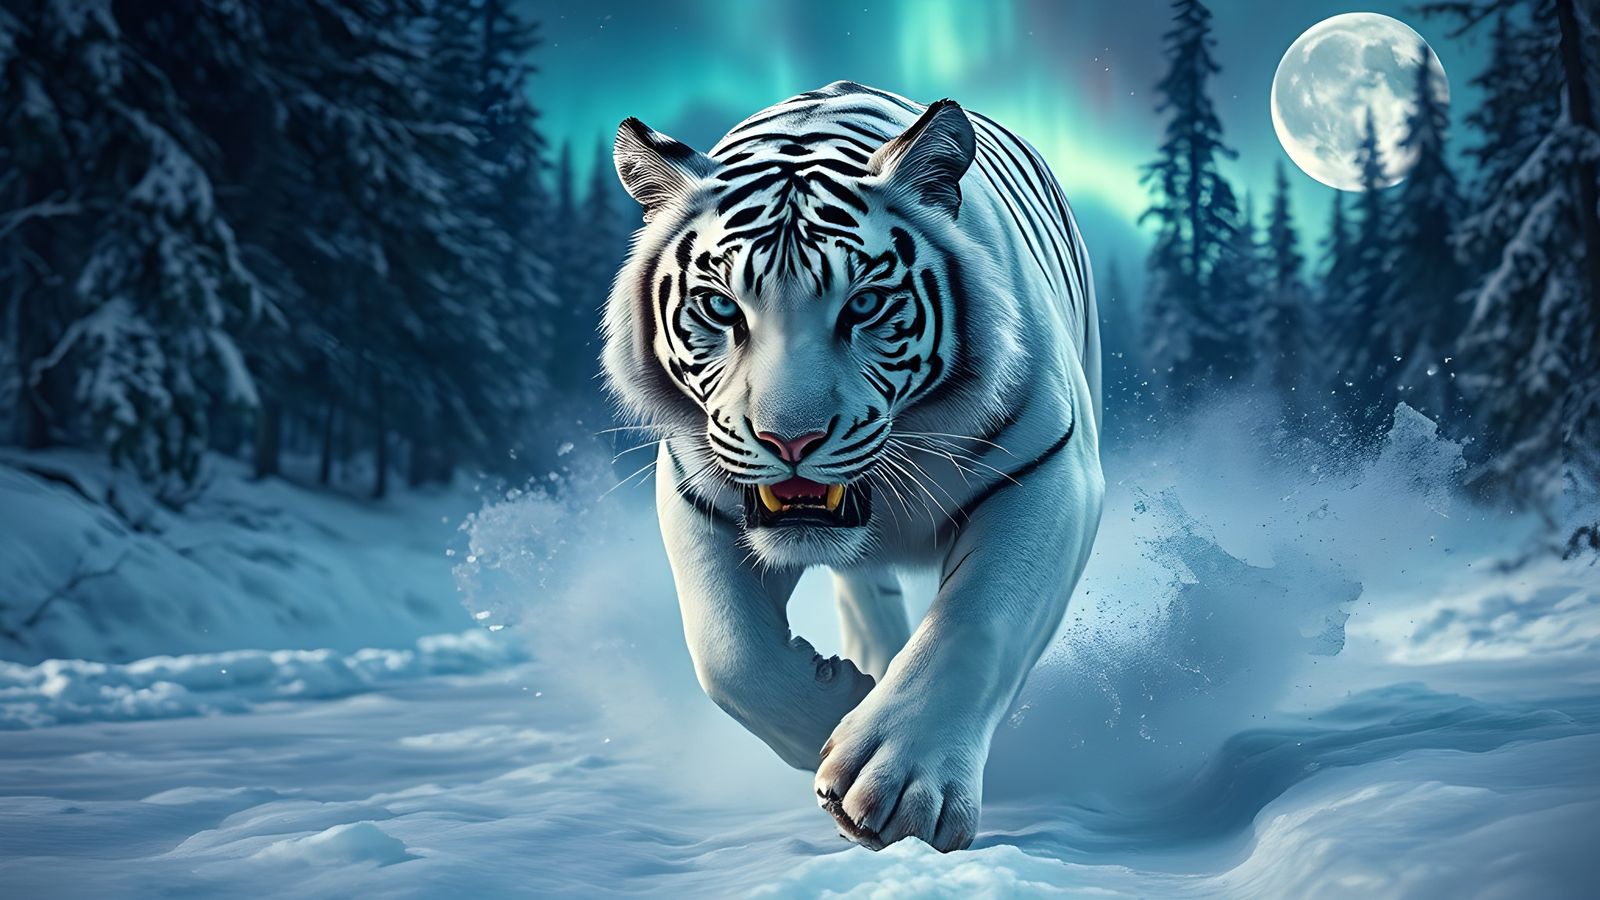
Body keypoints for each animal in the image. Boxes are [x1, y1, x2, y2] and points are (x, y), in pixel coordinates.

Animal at [604, 81, 1104, 853]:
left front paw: (898, 785)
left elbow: (974, 624)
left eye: (864, 304)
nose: (790, 440)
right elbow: (729, 651)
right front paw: (834, 710)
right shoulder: (697, 491)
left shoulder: (1051, 472)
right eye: (720, 307)